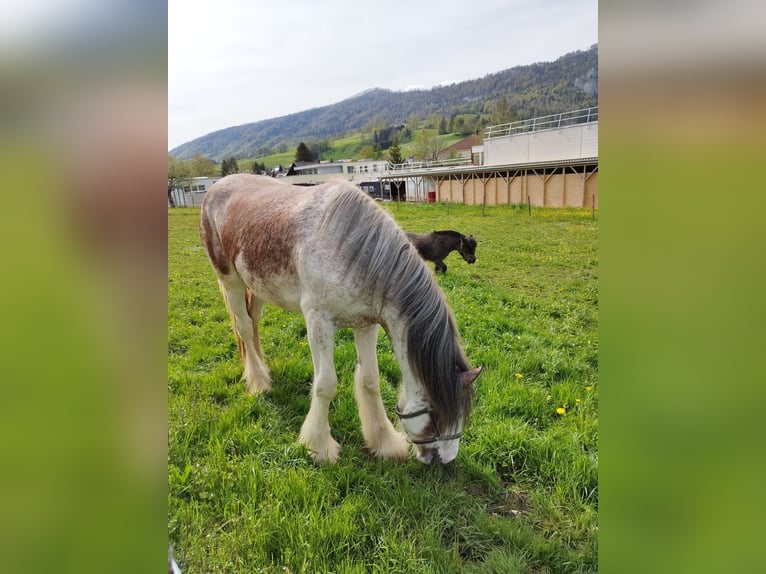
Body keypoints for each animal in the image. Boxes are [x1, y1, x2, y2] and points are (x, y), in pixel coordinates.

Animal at [201, 177, 484, 468]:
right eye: (436, 415)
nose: (445, 460)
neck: (353, 250)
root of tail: (216, 188)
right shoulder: (318, 322)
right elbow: (325, 386)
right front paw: (319, 447)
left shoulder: (367, 324)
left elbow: (371, 381)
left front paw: (384, 443)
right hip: (230, 279)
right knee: (244, 328)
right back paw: (258, 382)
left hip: (257, 287)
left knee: (254, 322)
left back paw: (263, 369)